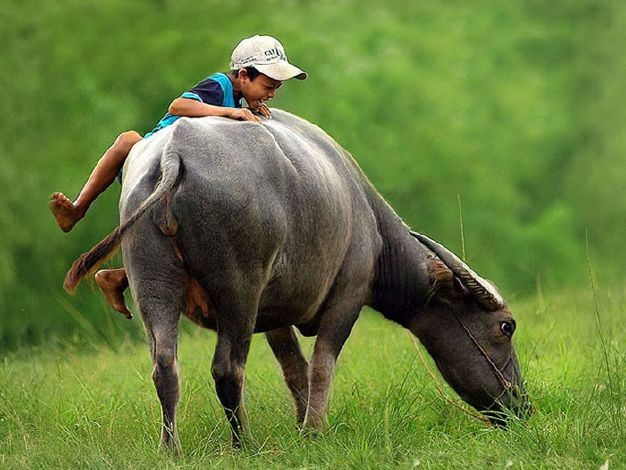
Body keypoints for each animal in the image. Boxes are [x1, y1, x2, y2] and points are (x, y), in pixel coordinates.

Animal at [66, 108, 528, 450]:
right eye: (505, 327)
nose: (520, 405)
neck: (369, 223)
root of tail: (174, 154)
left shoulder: (275, 315)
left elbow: (295, 369)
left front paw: (302, 422)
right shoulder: (348, 295)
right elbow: (322, 364)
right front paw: (315, 430)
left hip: (153, 281)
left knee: (165, 365)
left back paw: (171, 449)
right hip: (238, 288)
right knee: (227, 368)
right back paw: (244, 446)